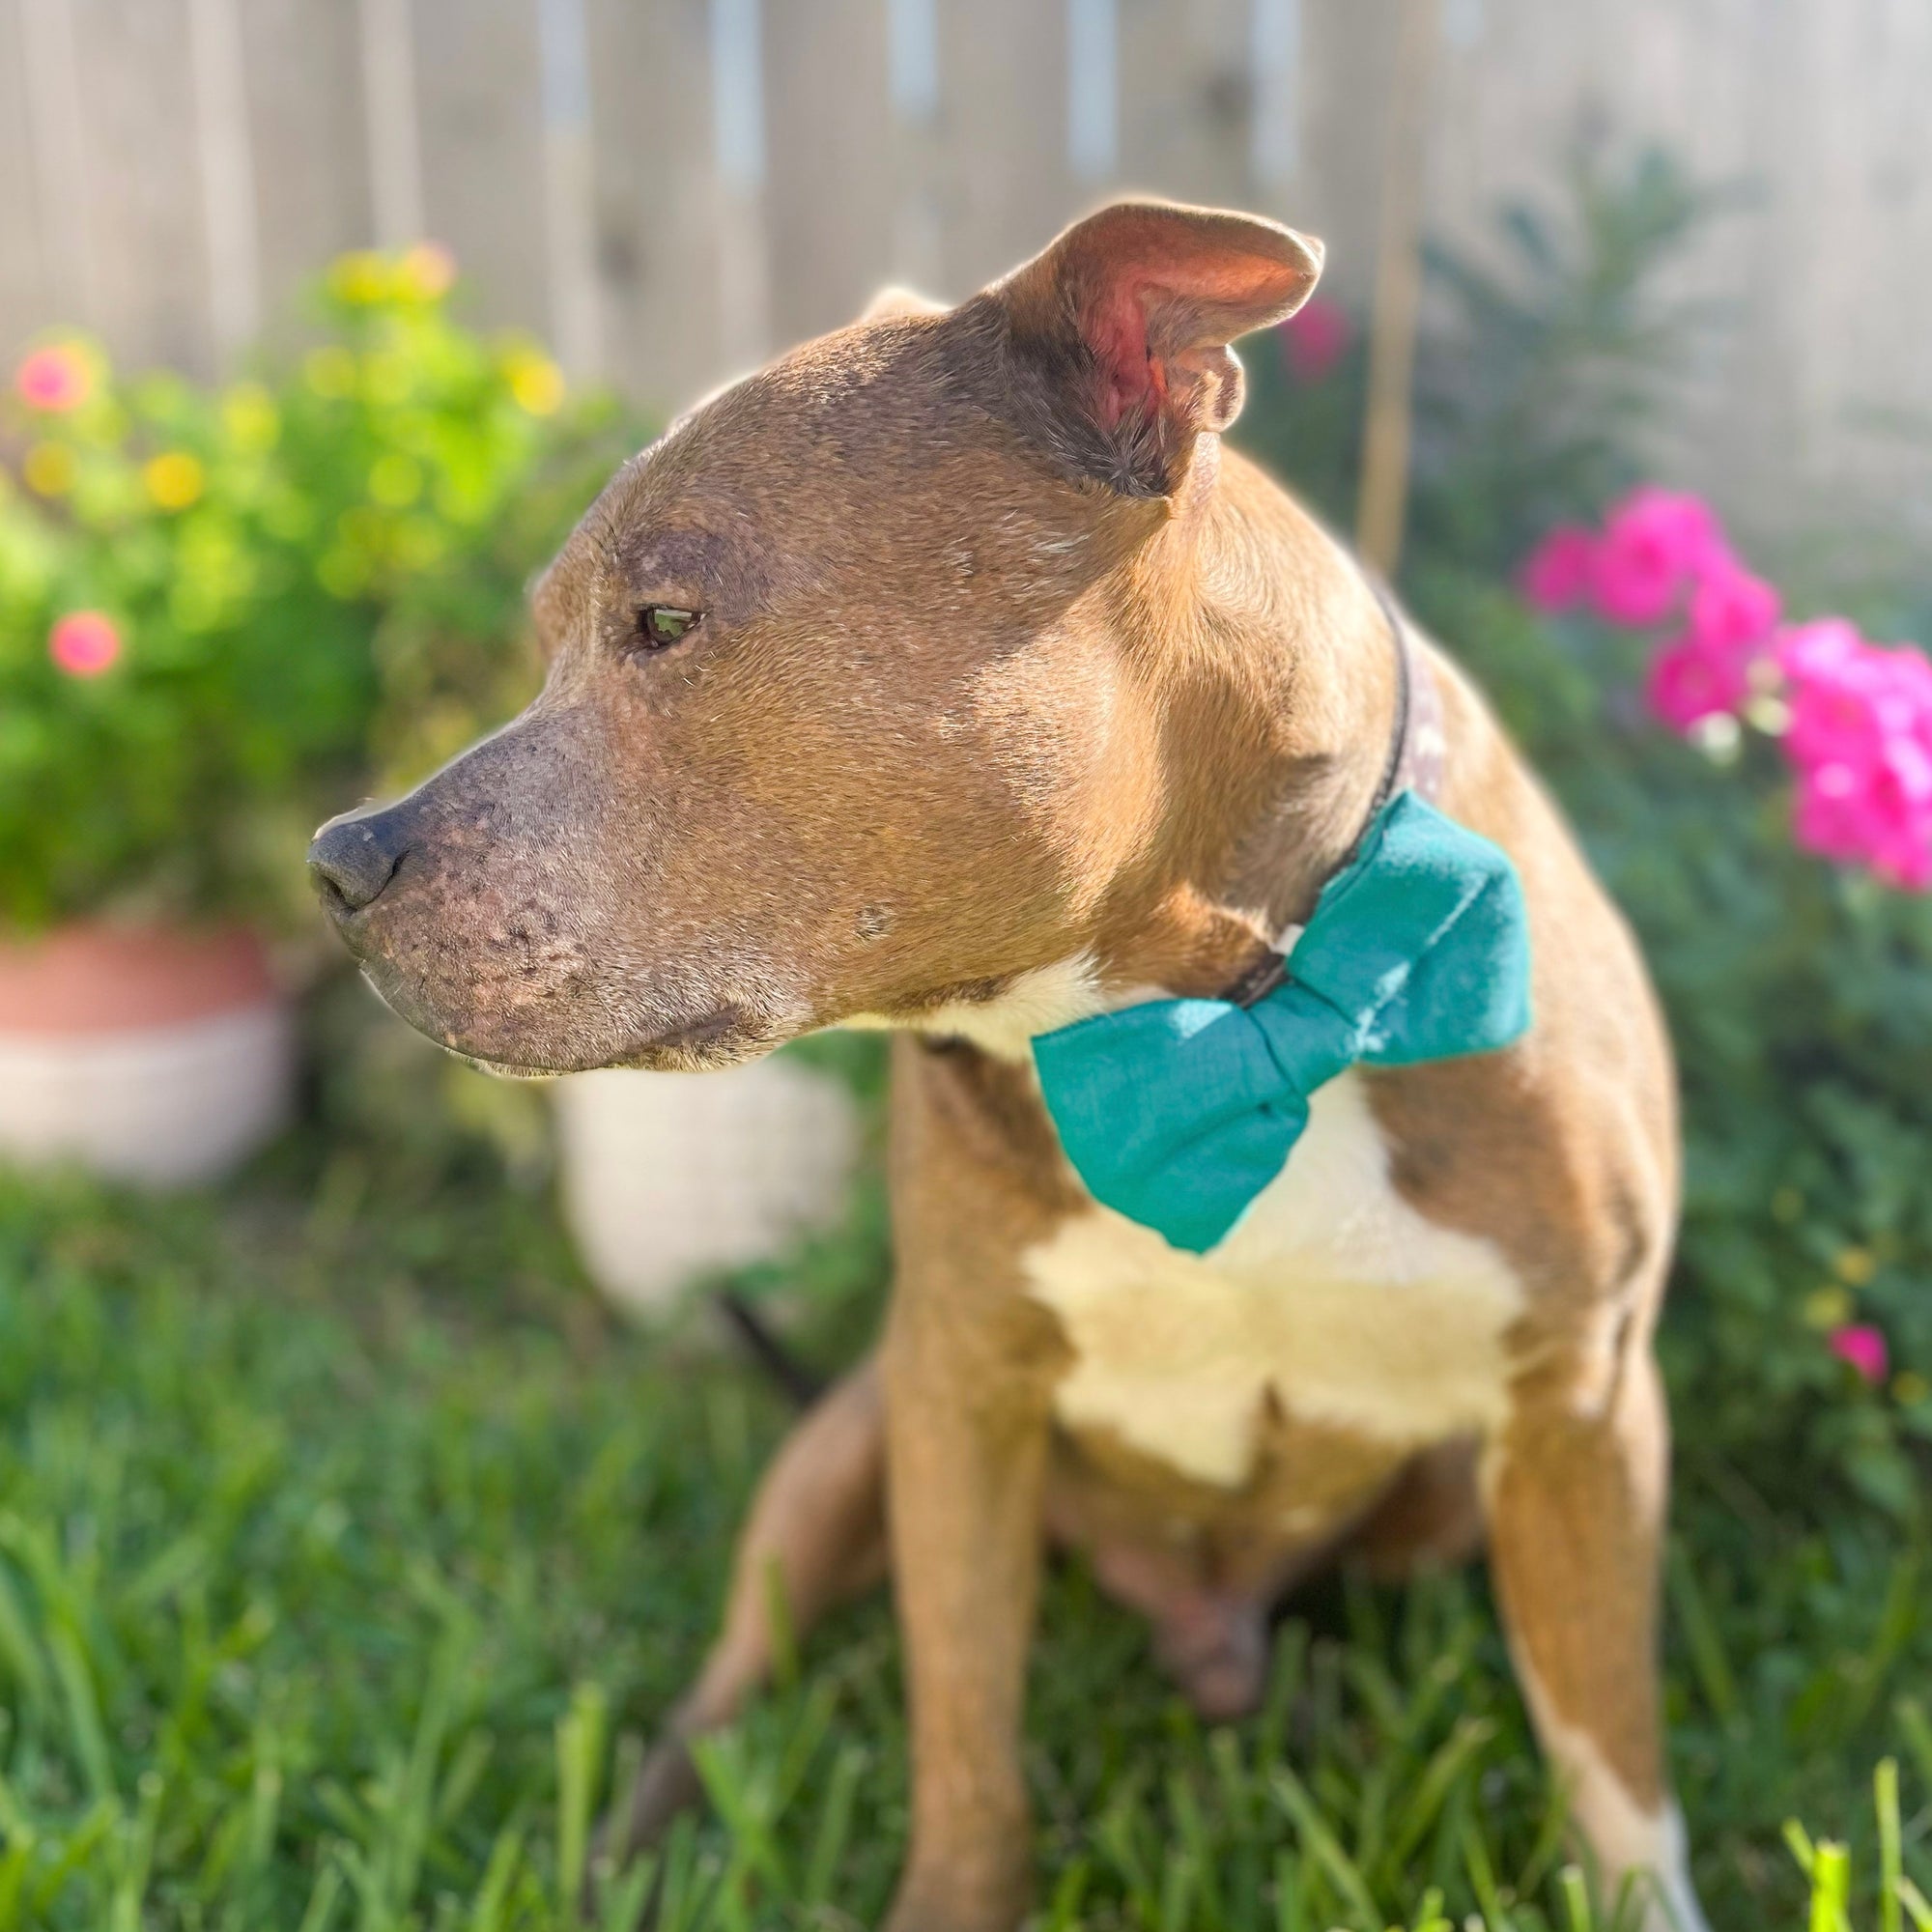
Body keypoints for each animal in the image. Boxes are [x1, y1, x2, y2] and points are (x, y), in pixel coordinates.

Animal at [313, 208, 1708, 1932]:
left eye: (664, 621)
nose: (340, 857)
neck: (1227, 1015)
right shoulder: (956, 1398)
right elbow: (968, 1728)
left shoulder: (1586, 1416)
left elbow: (1615, 1764)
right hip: (843, 1446)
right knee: (739, 1664)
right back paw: (638, 1838)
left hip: (1446, 1499)